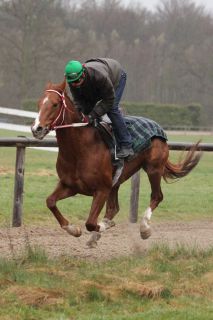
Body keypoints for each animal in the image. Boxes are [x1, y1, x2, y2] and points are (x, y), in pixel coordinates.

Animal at [31, 79, 201, 245]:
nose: (36, 129)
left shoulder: (101, 189)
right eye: (39, 103)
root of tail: (158, 128)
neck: (78, 151)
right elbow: (50, 202)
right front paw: (74, 229)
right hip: (117, 181)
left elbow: (90, 223)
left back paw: (144, 228)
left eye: (55, 104)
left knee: (157, 196)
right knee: (114, 208)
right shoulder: (70, 186)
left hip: (153, 169)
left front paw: (102, 227)